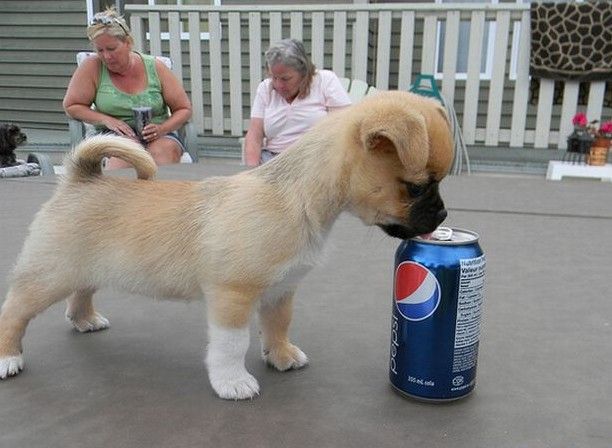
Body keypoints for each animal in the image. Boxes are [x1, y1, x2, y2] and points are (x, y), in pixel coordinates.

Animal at [1, 91, 454, 400]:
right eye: (416, 187)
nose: (443, 216)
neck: (297, 196)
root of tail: (78, 178)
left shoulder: (282, 291)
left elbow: (278, 326)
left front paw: (280, 355)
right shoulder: (232, 296)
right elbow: (232, 344)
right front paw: (232, 382)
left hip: (87, 269)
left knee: (80, 294)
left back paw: (85, 320)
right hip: (47, 277)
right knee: (14, 313)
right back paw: (9, 357)